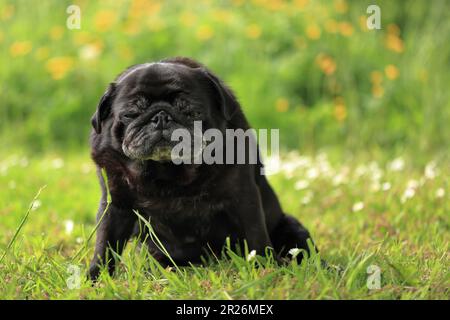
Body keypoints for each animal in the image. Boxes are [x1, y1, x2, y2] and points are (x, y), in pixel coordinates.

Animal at [87, 57, 312, 280]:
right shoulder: (114, 206)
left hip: (292, 228)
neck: (166, 173)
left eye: (192, 112)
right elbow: (104, 245)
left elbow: (255, 237)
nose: (161, 117)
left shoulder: (243, 200)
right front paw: (95, 278)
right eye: (130, 114)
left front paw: (265, 268)